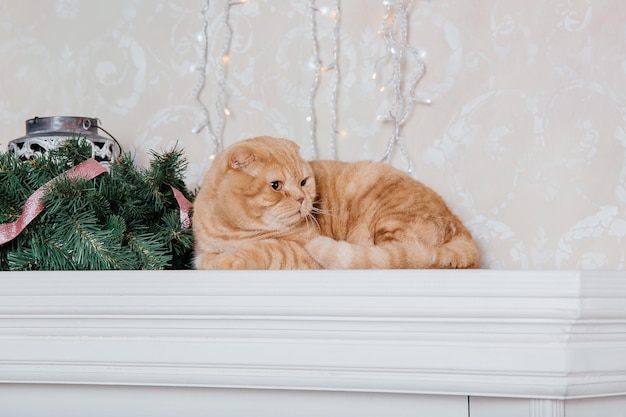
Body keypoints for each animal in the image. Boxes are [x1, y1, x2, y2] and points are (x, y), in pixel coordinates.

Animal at [193, 135, 480, 268]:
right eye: (276, 186)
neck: (231, 231)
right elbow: (202, 259)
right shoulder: (201, 250)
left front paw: (230, 259)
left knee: (402, 256)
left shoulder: (303, 253)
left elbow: (266, 248)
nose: (301, 198)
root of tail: (462, 228)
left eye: (303, 182)